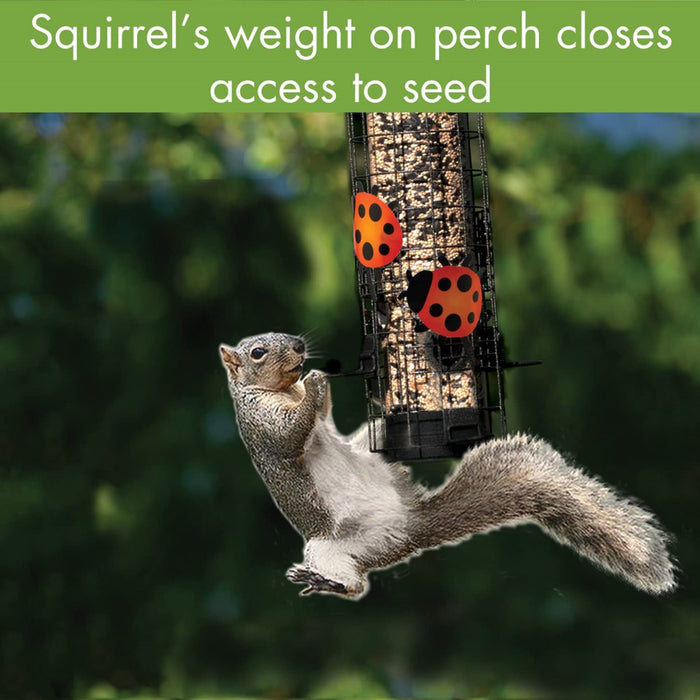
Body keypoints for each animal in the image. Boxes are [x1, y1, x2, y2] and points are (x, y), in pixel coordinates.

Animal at [219, 332, 677, 600]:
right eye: (258, 352)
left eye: (288, 336)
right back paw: (325, 581)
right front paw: (314, 380)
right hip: (331, 547)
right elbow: (290, 434)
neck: (283, 390)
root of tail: (409, 527)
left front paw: (318, 379)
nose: (300, 346)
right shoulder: (260, 424)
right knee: (354, 585)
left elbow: (321, 415)